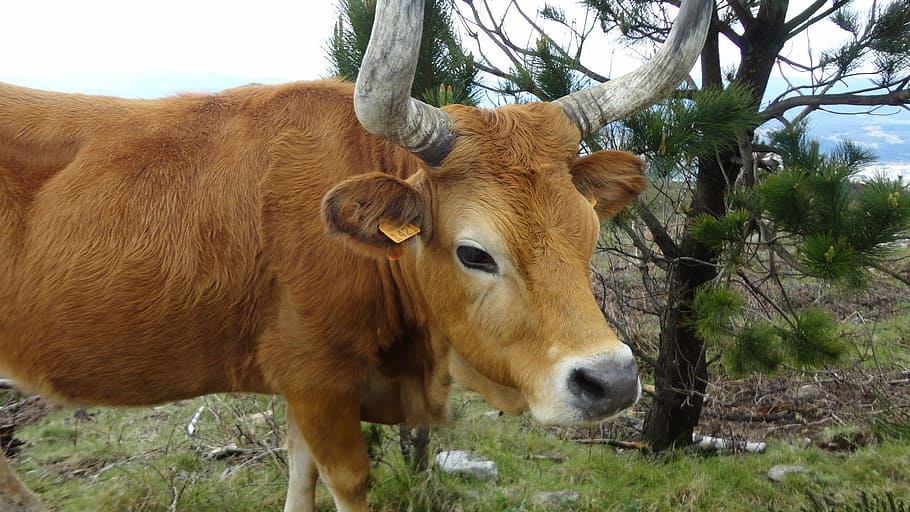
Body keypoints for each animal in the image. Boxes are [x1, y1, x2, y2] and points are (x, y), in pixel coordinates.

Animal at [0, 0, 711, 510]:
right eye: (474, 253)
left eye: (589, 233)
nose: (611, 382)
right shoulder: (317, 382)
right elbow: (344, 481)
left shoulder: (305, 391)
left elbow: (299, 476)